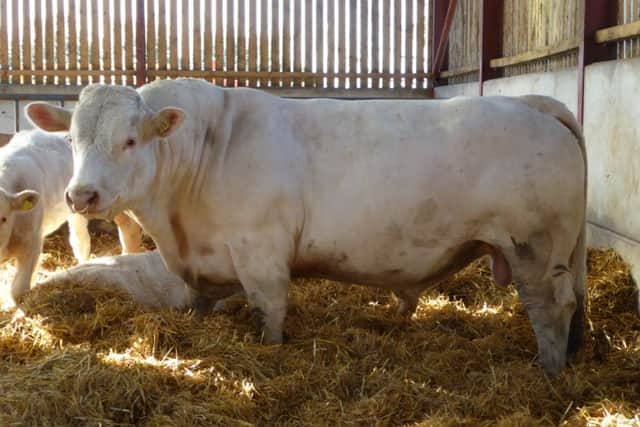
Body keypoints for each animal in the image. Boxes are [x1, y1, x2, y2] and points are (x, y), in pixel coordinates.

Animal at [26, 79, 587, 375]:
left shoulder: (260, 252)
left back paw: (549, 369)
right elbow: (198, 304)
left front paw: (271, 352)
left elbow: (268, 311)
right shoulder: (202, 264)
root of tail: (531, 100)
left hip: (534, 246)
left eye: (130, 141)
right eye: (72, 138)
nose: (82, 195)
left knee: (550, 307)